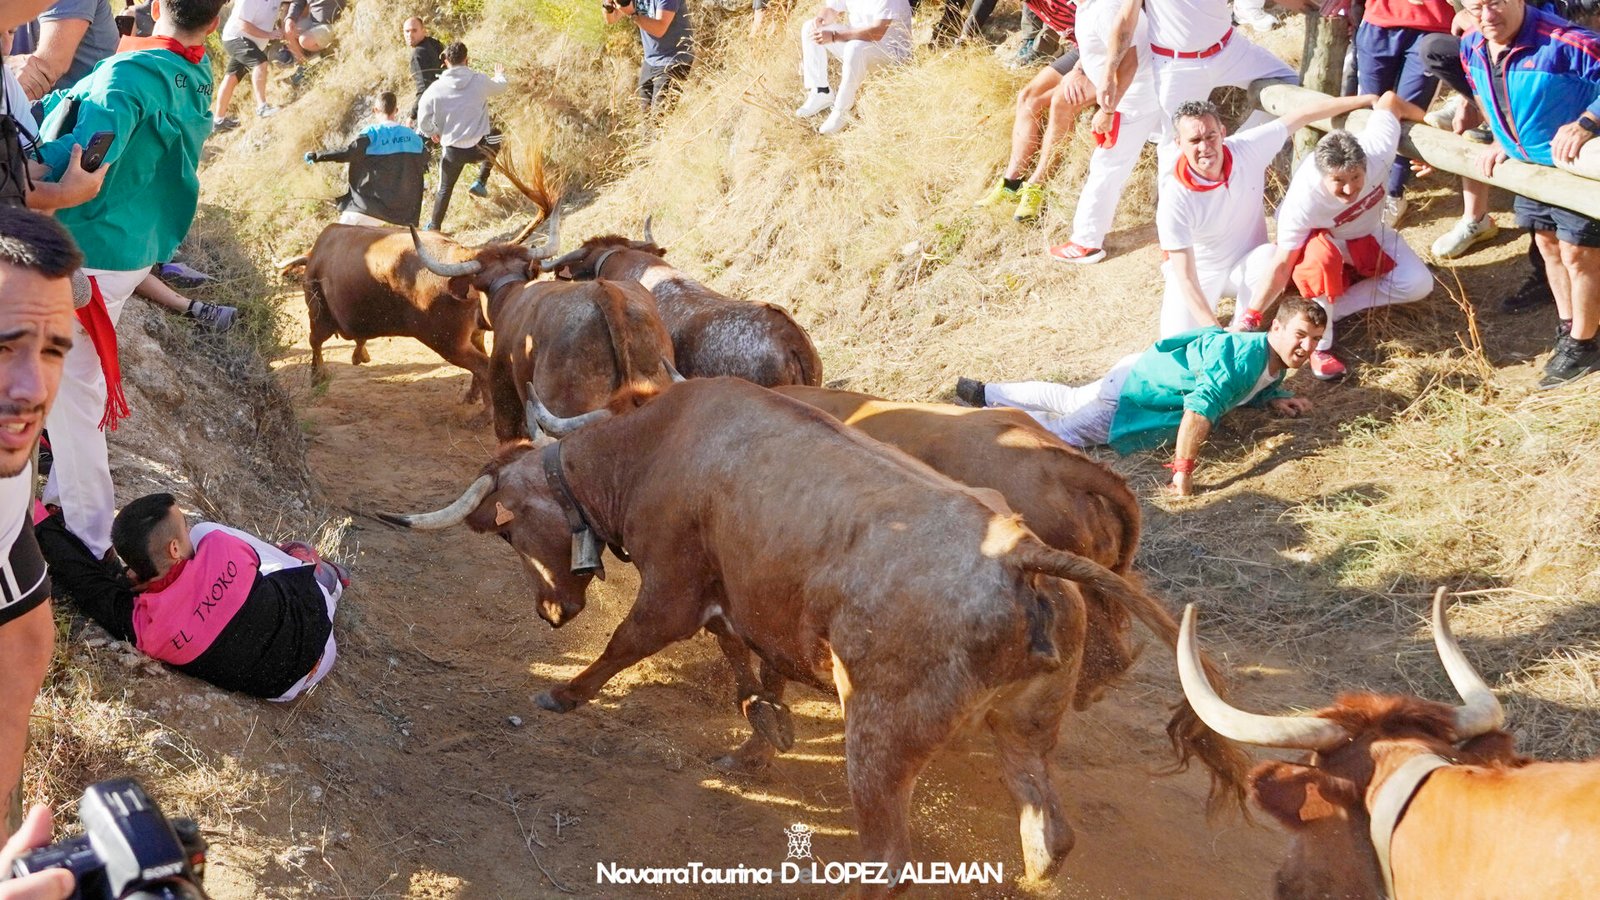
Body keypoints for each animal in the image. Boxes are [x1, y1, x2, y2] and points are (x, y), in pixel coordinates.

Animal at [384, 374, 1248, 883]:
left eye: (506, 533)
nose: (549, 612)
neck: (657, 444)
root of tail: (1022, 555)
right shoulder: (733, 592)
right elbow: (743, 657)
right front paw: (761, 732)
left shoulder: (672, 584)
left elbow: (631, 641)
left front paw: (563, 694)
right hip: (1024, 729)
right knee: (1049, 833)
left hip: (881, 739)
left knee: (890, 856)